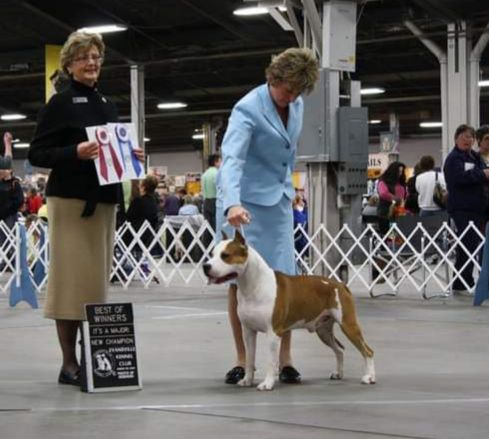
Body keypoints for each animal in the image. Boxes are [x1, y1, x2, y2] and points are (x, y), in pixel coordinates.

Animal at [202, 230, 374, 392]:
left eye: (225, 255)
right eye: (211, 254)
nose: (205, 266)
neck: (253, 284)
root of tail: (340, 284)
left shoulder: (273, 333)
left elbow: (271, 361)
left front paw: (267, 384)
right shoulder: (248, 331)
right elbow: (250, 358)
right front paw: (247, 380)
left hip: (348, 324)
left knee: (368, 351)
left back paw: (369, 377)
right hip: (323, 330)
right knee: (339, 350)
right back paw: (338, 373)